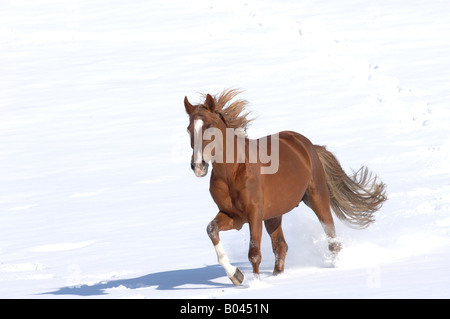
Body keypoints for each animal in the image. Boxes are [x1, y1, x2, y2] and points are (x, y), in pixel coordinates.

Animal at [183, 89, 386, 286]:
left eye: (210, 126)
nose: (198, 166)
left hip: (317, 198)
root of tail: (309, 145)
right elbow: (212, 230)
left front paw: (255, 283)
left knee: (331, 238)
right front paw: (236, 275)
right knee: (281, 246)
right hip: (273, 215)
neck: (232, 172)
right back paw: (277, 275)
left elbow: (254, 253)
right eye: (189, 129)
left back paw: (337, 265)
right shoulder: (234, 216)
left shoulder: (254, 215)